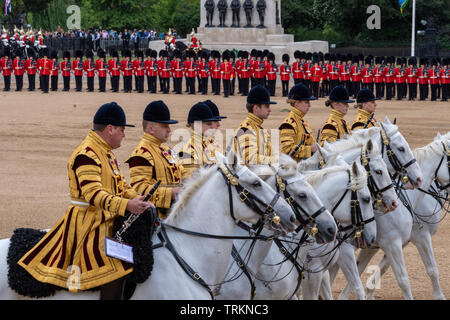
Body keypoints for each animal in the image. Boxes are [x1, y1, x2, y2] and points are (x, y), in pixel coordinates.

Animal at [342, 131, 450, 300]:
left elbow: (376, 268)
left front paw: (368, 293)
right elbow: (431, 269)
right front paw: (439, 296)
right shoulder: (418, 237)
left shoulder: (390, 244)